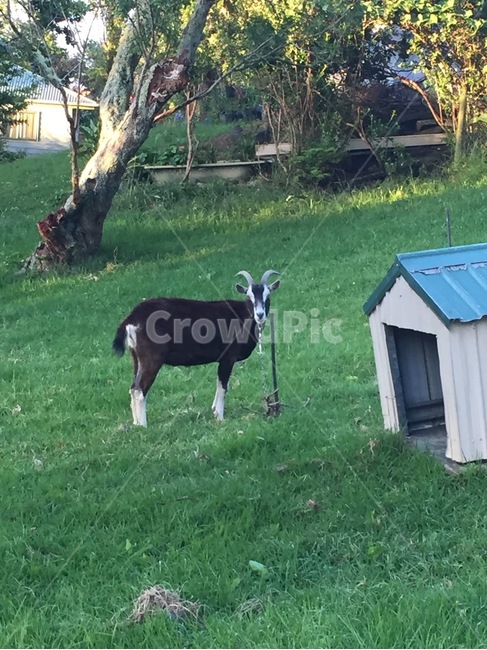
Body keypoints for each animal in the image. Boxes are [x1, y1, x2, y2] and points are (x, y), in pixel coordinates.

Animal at [112, 270, 280, 426]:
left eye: (267, 297)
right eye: (249, 297)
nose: (260, 315)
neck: (242, 315)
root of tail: (132, 318)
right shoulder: (228, 357)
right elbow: (223, 386)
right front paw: (219, 417)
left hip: (136, 357)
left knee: (133, 388)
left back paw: (136, 424)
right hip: (151, 358)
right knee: (140, 389)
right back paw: (143, 425)